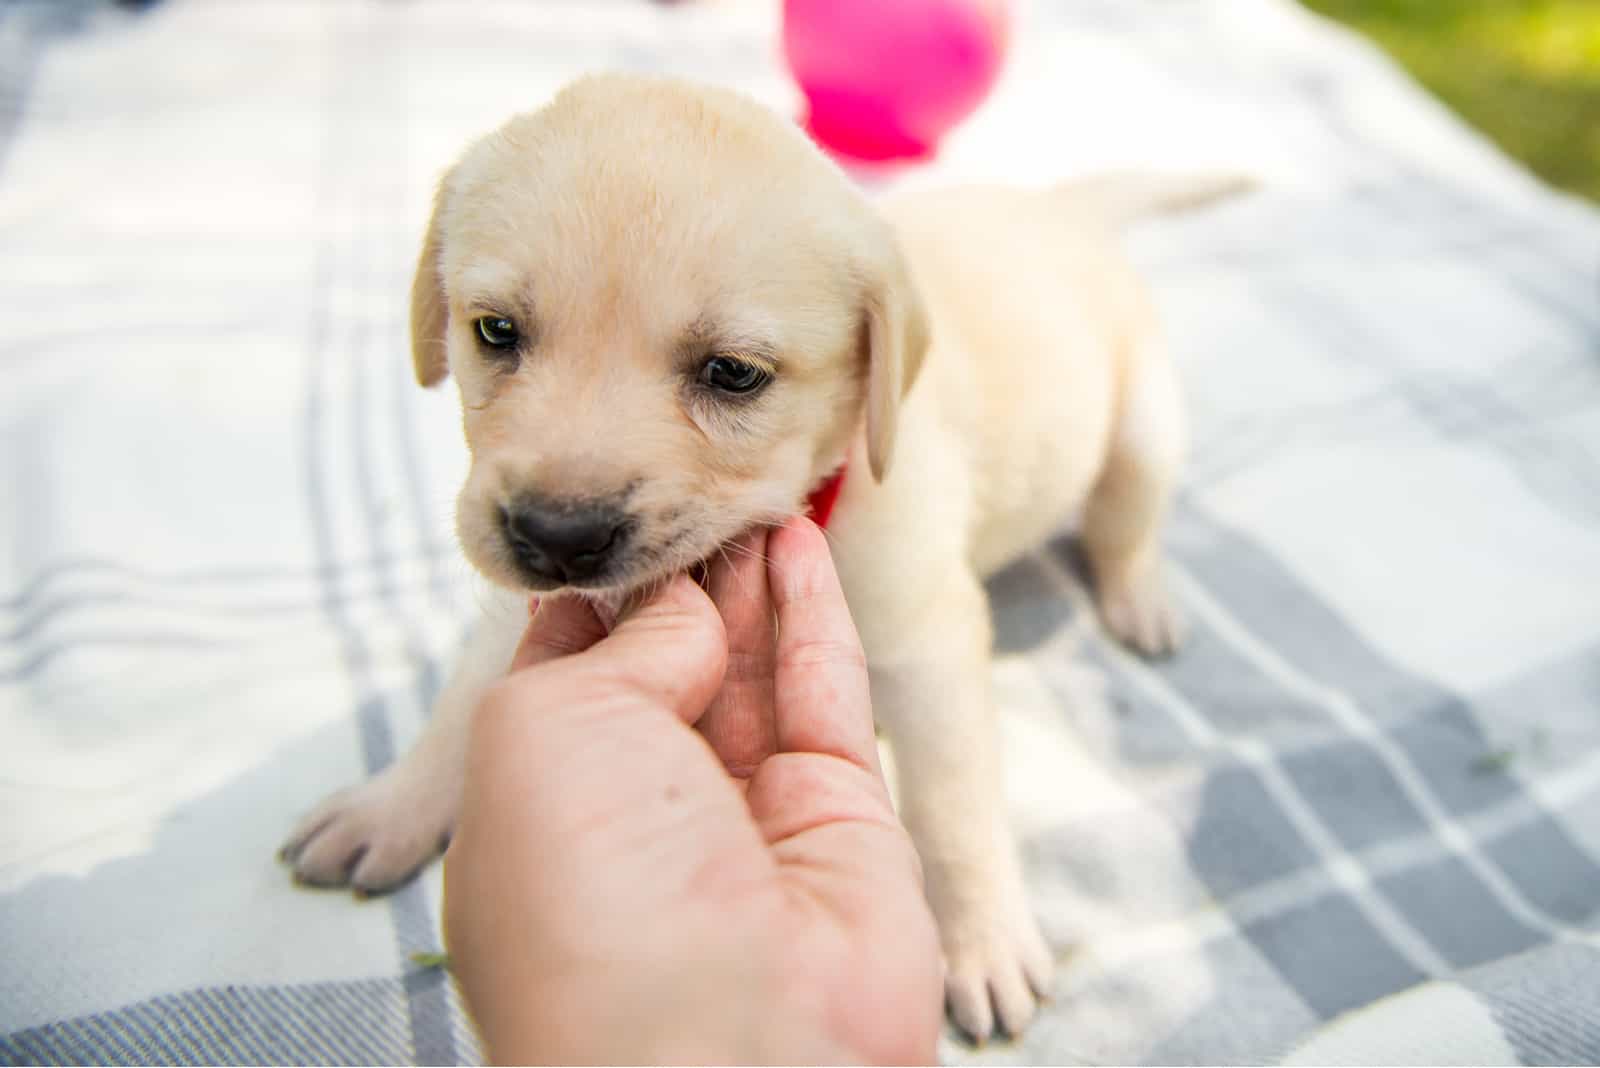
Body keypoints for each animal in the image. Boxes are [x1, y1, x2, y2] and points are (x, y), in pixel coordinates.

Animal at [281, 70, 1241, 1036]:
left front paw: (982, 938)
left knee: (1125, 524)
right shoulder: (518, 608)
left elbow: (952, 806)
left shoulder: (927, 643)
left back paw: (1141, 600)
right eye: (494, 332)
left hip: (1145, 426)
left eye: (734, 373)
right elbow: (464, 706)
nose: (556, 536)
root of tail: (1059, 209)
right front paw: (393, 804)